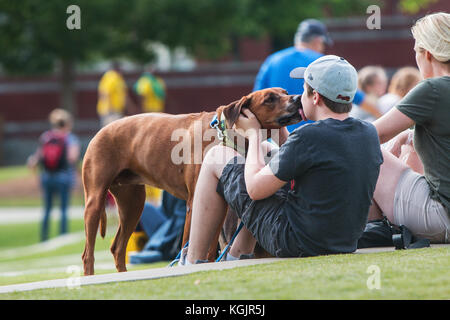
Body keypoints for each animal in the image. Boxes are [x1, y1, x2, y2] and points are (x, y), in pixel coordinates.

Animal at [82, 87, 300, 276]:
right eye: (269, 99)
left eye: (285, 92)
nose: (298, 99)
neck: (226, 134)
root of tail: (101, 130)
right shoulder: (194, 201)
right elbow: (189, 239)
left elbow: (211, 246)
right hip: (95, 201)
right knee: (88, 254)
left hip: (133, 205)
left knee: (118, 247)